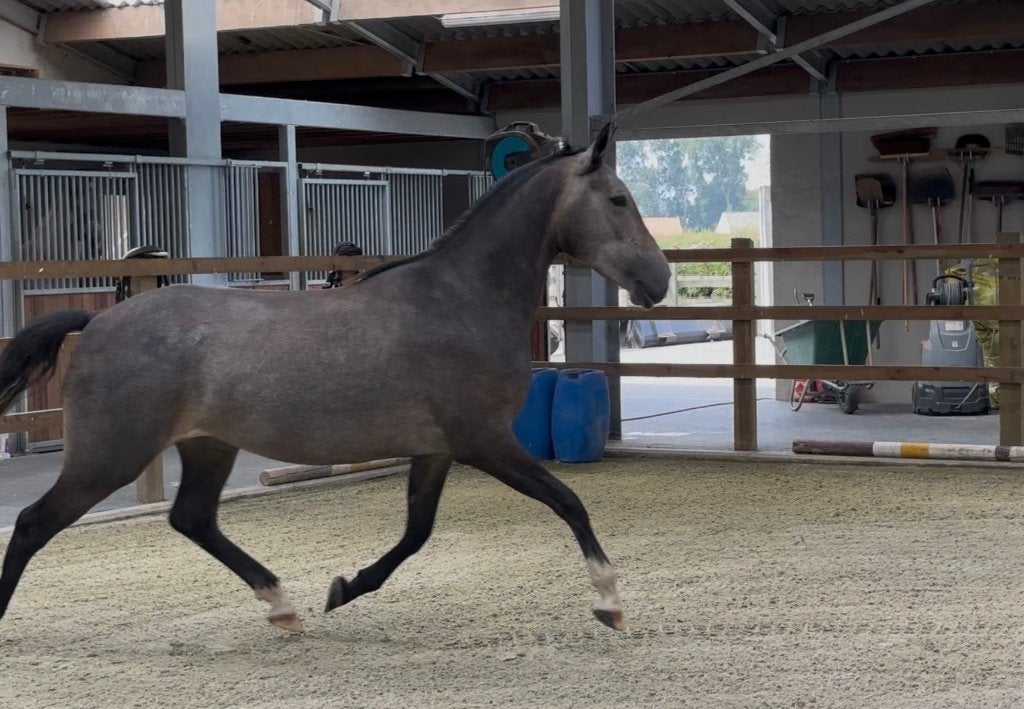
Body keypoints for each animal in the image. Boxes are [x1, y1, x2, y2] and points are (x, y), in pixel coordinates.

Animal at [0, 123, 670, 635]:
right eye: (618, 199)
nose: (660, 280)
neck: (462, 297)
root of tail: (97, 320)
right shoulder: (485, 441)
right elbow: (568, 500)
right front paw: (609, 600)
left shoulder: (437, 449)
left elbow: (416, 534)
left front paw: (343, 588)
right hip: (109, 456)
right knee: (33, 523)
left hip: (208, 445)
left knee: (191, 518)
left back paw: (282, 606)